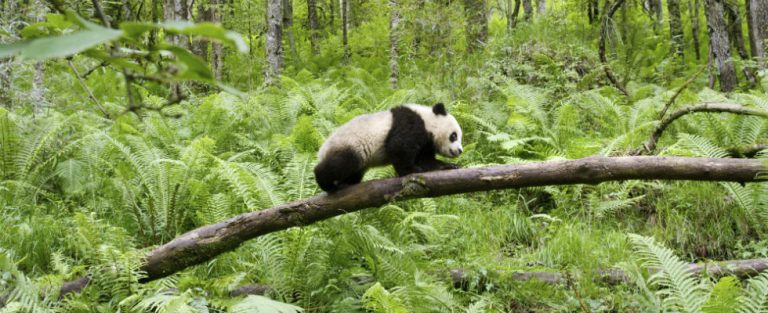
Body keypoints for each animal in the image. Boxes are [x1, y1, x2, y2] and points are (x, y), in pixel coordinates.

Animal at [312, 102, 462, 191]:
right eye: (454, 136)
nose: (459, 150)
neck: (426, 120)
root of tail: (322, 150)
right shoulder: (409, 123)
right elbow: (398, 146)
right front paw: (411, 170)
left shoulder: (426, 143)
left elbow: (427, 160)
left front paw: (449, 166)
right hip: (350, 145)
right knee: (341, 163)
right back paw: (327, 184)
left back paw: (346, 183)